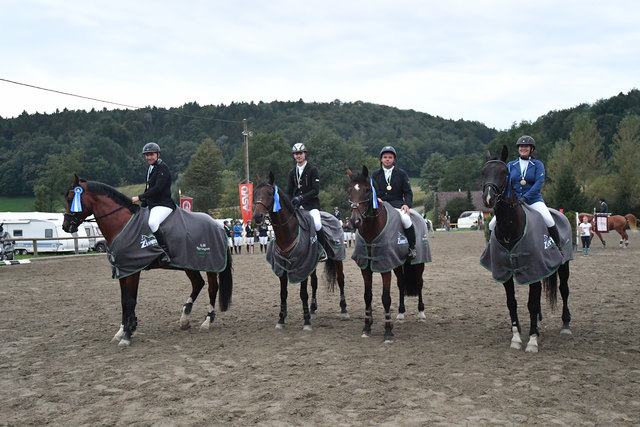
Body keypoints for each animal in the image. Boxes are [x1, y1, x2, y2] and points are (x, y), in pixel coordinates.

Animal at [61, 176, 232, 346]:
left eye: (71, 199)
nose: (66, 226)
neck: (121, 223)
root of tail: (218, 225)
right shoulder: (123, 270)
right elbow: (124, 301)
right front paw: (122, 331)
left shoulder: (133, 270)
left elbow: (130, 301)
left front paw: (127, 335)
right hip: (188, 263)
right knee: (198, 284)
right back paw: (184, 318)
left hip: (210, 264)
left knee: (212, 288)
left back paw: (207, 321)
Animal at [251, 172, 350, 332]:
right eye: (255, 193)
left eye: (270, 193)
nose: (257, 216)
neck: (288, 232)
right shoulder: (283, 267)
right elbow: (283, 293)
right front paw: (281, 319)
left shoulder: (302, 265)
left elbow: (303, 293)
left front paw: (306, 322)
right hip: (312, 263)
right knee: (315, 283)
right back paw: (313, 309)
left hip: (337, 258)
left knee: (341, 280)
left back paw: (343, 309)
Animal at [344, 167, 424, 344]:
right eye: (350, 190)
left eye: (368, 190)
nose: (355, 221)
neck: (371, 230)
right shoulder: (366, 268)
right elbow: (367, 296)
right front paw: (367, 327)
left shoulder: (385, 267)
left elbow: (386, 298)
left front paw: (388, 331)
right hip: (397, 264)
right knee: (401, 284)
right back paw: (401, 313)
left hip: (418, 264)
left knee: (420, 283)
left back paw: (421, 313)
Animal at [482, 148, 572, 354]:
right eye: (483, 172)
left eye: (504, 173)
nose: (489, 198)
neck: (510, 229)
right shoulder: (506, 273)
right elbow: (512, 303)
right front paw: (516, 337)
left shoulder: (534, 269)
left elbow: (531, 304)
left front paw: (532, 341)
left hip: (564, 266)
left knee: (564, 290)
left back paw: (565, 325)